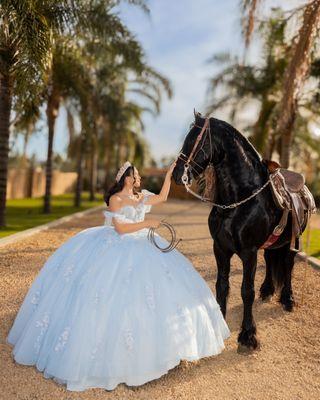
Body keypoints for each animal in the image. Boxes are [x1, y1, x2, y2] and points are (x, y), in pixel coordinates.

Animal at [172, 111, 304, 350]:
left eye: (196, 140)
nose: (177, 174)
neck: (240, 199)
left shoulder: (248, 252)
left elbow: (246, 291)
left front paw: (248, 335)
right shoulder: (220, 249)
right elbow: (222, 285)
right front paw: (220, 325)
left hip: (294, 241)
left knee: (288, 266)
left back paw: (287, 299)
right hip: (272, 244)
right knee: (271, 260)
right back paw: (267, 290)